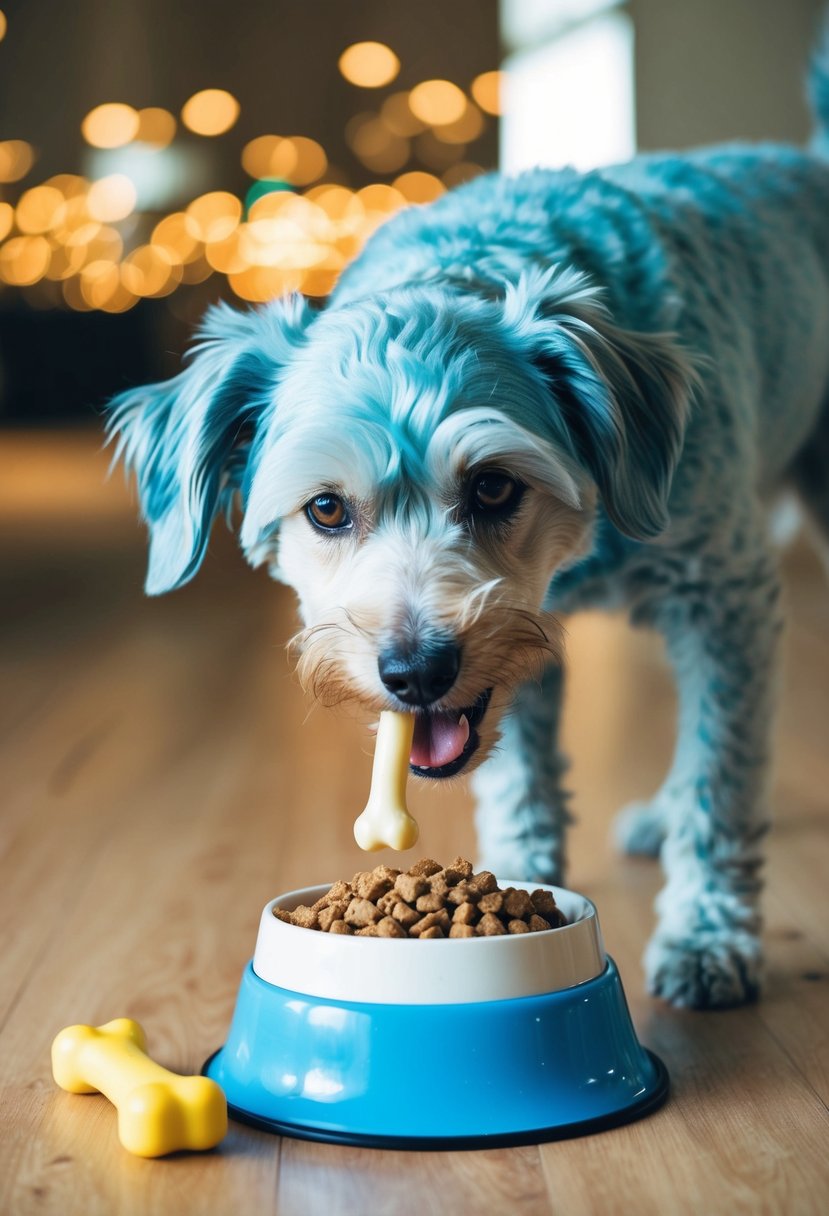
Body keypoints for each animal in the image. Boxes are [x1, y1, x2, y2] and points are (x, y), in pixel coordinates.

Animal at [108, 35, 826, 1006]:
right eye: (325, 508)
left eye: (490, 488)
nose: (415, 672)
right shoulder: (521, 649)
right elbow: (523, 778)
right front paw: (519, 884)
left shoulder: (723, 598)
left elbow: (719, 776)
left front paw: (706, 937)